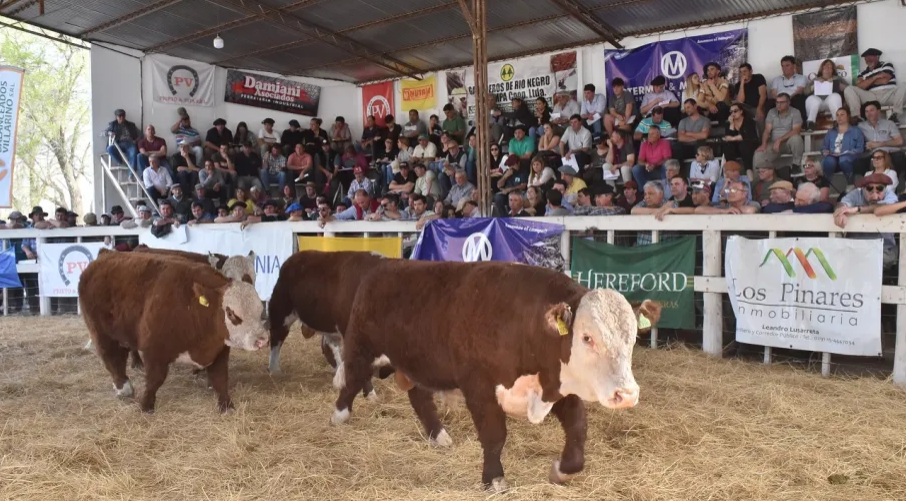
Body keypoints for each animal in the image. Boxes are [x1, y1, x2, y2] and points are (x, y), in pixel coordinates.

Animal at [80, 252, 268, 412]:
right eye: (231, 313)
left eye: (260, 310)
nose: (262, 339)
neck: (192, 307)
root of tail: (105, 255)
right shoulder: (154, 350)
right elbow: (154, 380)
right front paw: (146, 406)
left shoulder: (219, 350)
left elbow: (220, 378)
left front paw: (227, 406)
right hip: (102, 333)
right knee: (112, 358)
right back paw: (123, 387)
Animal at [264, 250, 384, 398]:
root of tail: (294, 258)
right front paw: (371, 395)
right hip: (282, 312)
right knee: (277, 338)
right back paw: (275, 370)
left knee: (330, 347)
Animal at [332, 260, 648, 490]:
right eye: (586, 338)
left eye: (633, 338)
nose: (627, 394)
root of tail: (385, 266)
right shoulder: (480, 388)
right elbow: (495, 435)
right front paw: (494, 478)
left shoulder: (558, 385)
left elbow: (578, 428)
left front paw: (563, 470)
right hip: (362, 347)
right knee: (352, 379)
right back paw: (339, 416)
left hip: (420, 363)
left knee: (419, 397)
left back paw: (439, 436)